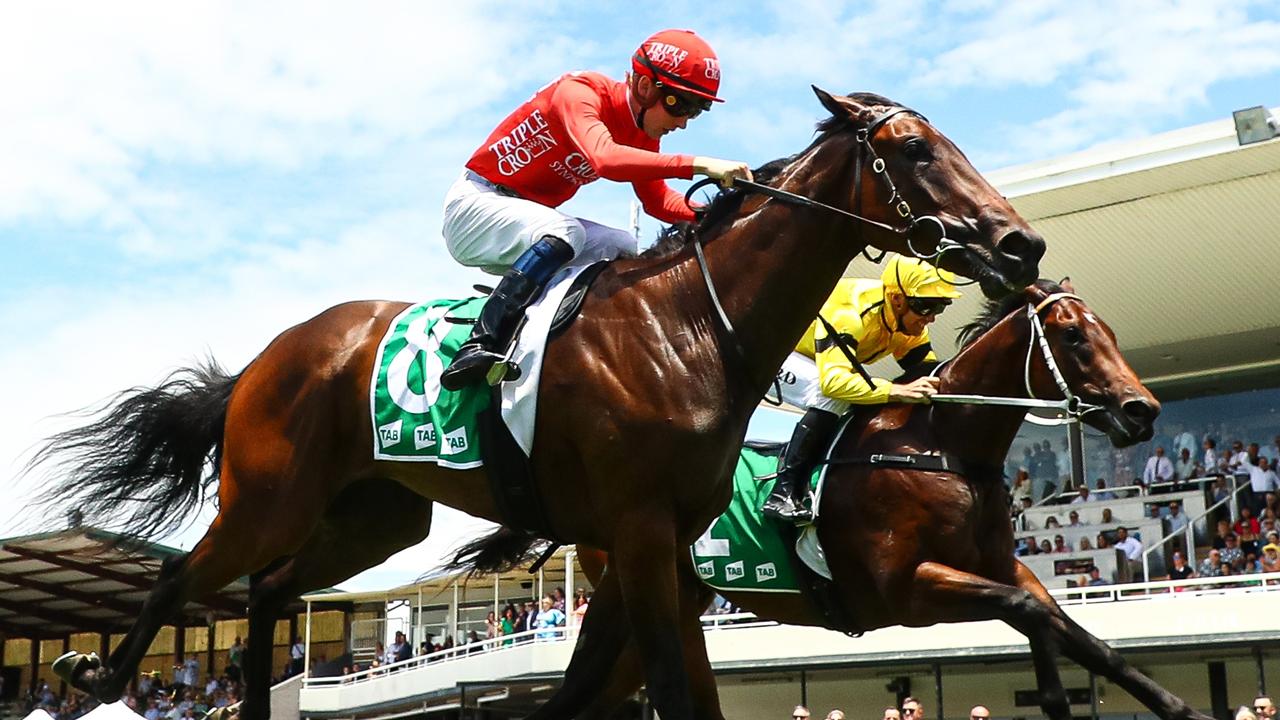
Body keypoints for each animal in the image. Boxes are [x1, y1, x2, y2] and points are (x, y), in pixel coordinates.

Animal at [32, 89, 1049, 717]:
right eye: (913, 149)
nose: (1021, 244)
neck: (692, 324)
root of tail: (265, 358)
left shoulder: (657, 544)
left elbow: (621, 682)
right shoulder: (638, 530)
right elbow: (666, 687)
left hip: (373, 519)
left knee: (271, 592)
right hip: (268, 500)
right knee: (183, 580)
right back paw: (93, 670)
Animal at [552, 283, 1208, 717]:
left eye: (1111, 333)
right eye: (1073, 336)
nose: (1141, 410)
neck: (942, 446)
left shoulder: (1002, 564)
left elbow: (1081, 637)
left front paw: (1178, 708)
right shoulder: (903, 588)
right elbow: (1028, 611)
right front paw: (1053, 692)